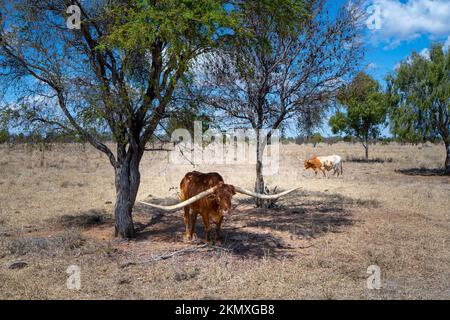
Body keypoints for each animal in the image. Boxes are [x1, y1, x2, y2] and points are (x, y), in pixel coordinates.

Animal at [139, 171, 298, 244]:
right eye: (218, 197)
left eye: (231, 196)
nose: (227, 209)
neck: (215, 206)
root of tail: (188, 175)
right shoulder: (205, 213)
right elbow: (208, 227)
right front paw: (208, 241)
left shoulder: (220, 215)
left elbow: (218, 226)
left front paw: (218, 240)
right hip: (185, 202)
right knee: (186, 218)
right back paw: (189, 235)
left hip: (195, 207)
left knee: (193, 217)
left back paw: (194, 233)